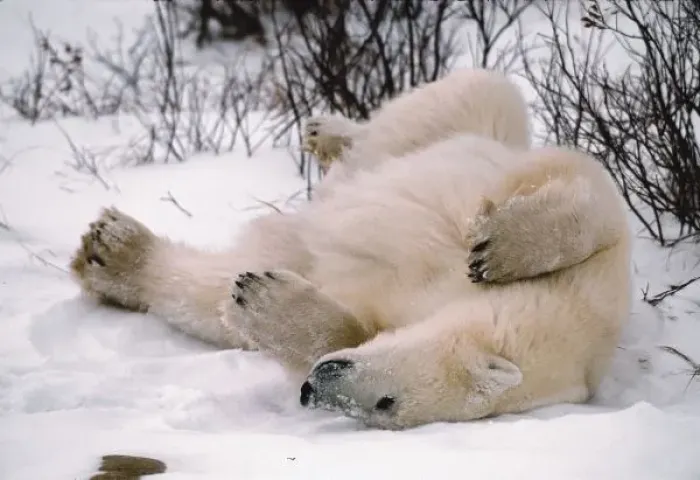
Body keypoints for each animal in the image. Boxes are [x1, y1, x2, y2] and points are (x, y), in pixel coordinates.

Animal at [69, 70, 632, 430]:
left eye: (384, 406)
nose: (313, 390)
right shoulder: (590, 259)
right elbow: (592, 191)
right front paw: (496, 247)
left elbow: (347, 324)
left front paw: (263, 301)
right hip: (464, 134)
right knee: (473, 97)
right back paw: (331, 133)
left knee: (207, 290)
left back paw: (114, 253)